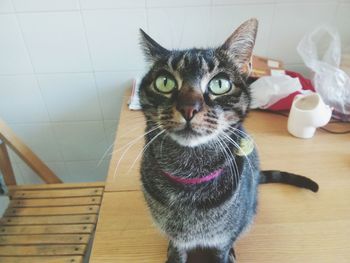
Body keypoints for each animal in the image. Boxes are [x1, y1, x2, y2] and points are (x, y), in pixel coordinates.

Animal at [138, 19, 318, 263]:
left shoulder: (222, 240)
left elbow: (223, 247)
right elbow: (176, 250)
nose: (188, 108)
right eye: (164, 82)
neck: (190, 174)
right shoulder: (176, 238)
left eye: (220, 84)